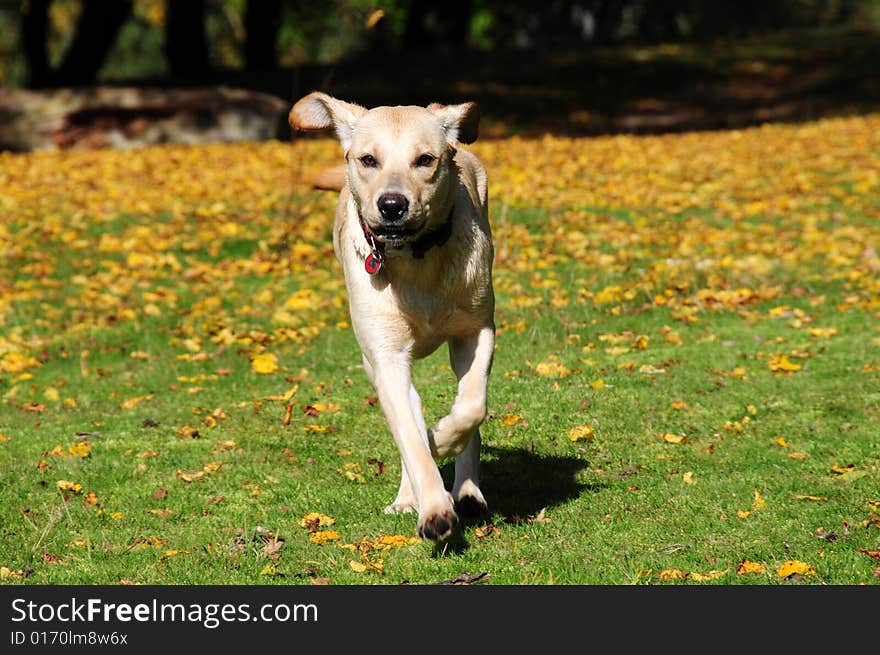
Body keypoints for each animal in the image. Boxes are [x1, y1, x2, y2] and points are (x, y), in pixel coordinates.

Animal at [290, 93, 492, 544]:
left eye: (425, 159)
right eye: (369, 159)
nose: (393, 205)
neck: (416, 261)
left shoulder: (477, 331)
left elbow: (472, 407)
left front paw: (444, 440)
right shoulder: (386, 357)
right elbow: (412, 440)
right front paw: (433, 510)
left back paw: (467, 489)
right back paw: (409, 496)